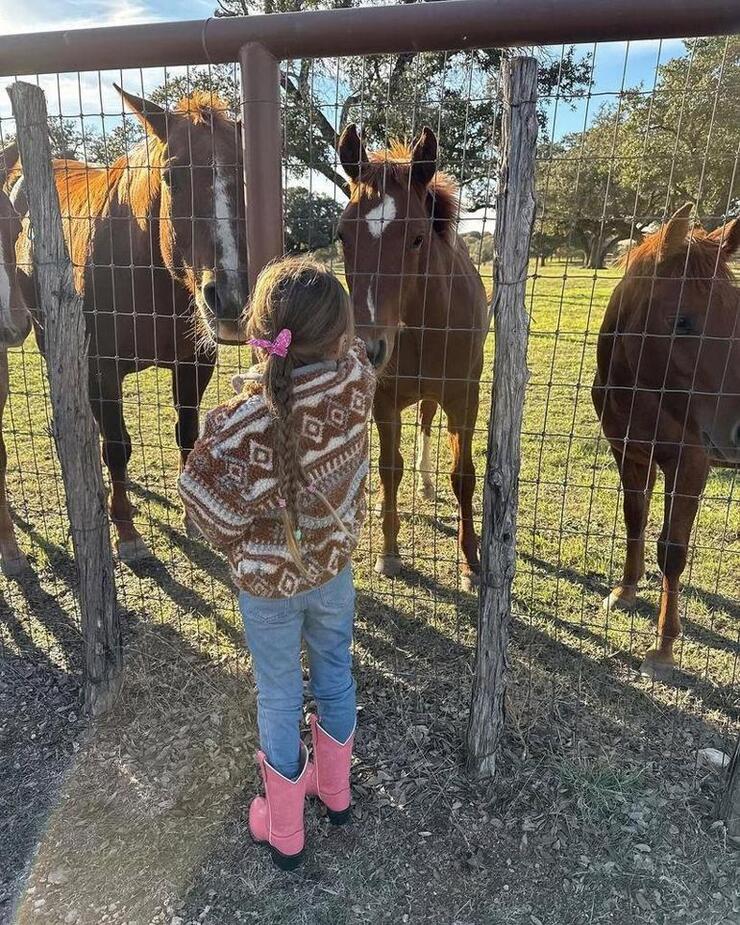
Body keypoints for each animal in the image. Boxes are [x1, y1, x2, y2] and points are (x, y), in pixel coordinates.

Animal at [10, 90, 249, 560]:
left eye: (243, 176)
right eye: (172, 176)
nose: (228, 297)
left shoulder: (194, 364)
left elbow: (187, 433)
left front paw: (191, 516)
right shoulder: (101, 368)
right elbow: (118, 447)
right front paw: (126, 530)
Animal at [334, 126, 486, 588]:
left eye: (418, 237)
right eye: (342, 235)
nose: (368, 347)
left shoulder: (464, 399)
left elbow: (463, 476)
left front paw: (471, 563)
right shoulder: (384, 401)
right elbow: (389, 470)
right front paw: (389, 552)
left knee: (429, 423)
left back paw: (427, 484)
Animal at [596, 206, 740, 676]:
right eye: (681, 320)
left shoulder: (690, 464)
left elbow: (673, 550)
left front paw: (663, 645)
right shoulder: (629, 453)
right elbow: (635, 519)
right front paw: (624, 590)